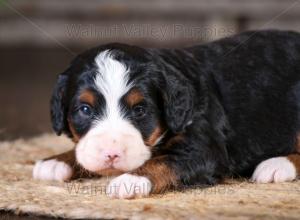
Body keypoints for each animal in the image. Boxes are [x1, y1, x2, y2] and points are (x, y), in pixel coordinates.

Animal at [33, 29, 300, 199]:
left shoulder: (204, 149)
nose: (112, 153)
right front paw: (56, 161)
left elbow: (163, 161)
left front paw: (130, 180)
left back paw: (275, 165)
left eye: (140, 110)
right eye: (85, 109)